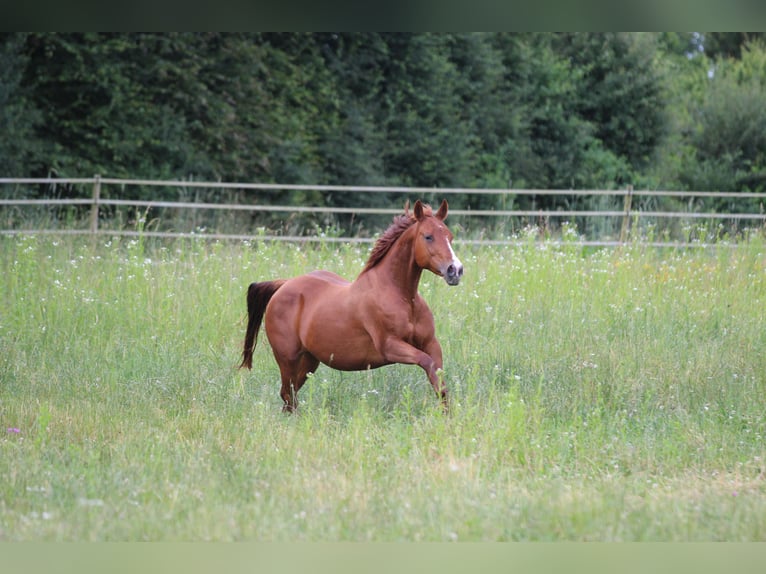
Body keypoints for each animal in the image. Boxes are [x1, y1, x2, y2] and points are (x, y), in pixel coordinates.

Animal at [240, 200, 464, 412]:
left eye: (450, 236)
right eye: (428, 236)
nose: (455, 270)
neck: (404, 299)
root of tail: (283, 285)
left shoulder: (431, 343)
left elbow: (439, 381)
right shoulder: (390, 346)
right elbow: (427, 363)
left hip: (309, 360)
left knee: (290, 396)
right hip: (287, 359)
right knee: (288, 395)